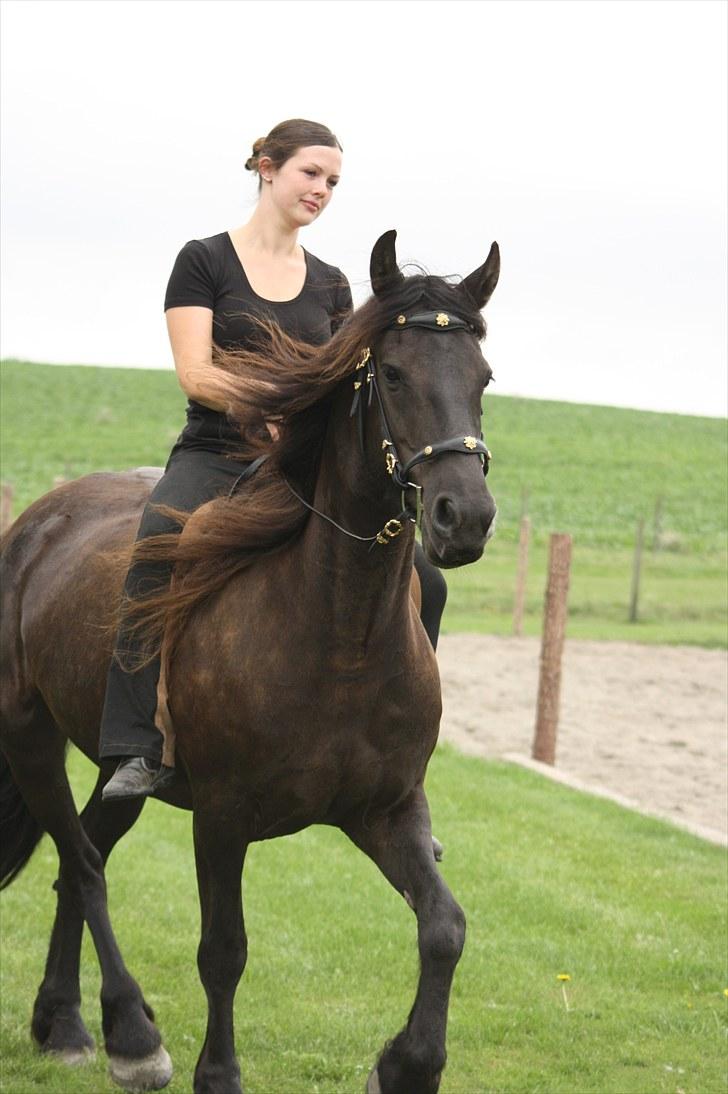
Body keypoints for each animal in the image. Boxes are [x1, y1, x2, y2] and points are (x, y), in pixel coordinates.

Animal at [0, 233, 499, 1094]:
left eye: (485, 378)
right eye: (392, 373)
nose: (462, 516)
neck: (339, 638)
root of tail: (35, 521)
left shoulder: (387, 809)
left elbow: (445, 926)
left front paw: (407, 1064)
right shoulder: (223, 817)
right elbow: (223, 951)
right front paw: (218, 1073)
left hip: (116, 771)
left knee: (79, 859)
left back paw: (65, 1023)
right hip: (30, 737)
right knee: (85, 863)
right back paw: (133, 1034)